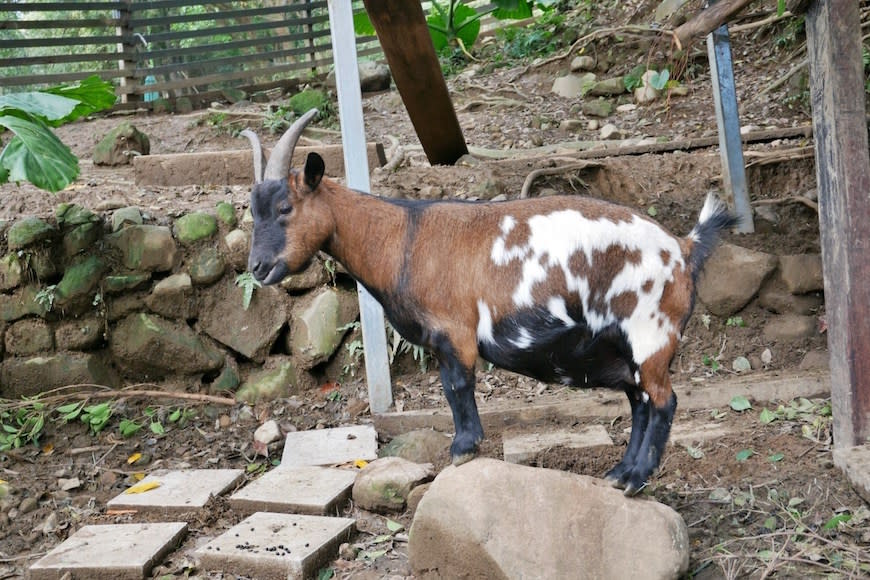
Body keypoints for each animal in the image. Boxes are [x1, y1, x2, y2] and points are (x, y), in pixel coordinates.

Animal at [242, 109, 740, 494]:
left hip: (650, 333)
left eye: (285, 207)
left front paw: (463, 450)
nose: (258, 268)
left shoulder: (454, 333)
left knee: (663, 402)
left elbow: (457, 388)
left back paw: (636, 478)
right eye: (253, 210)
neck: (403, 238)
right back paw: (620, 474)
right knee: (640, 401)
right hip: (623, 349)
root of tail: (684, 247)